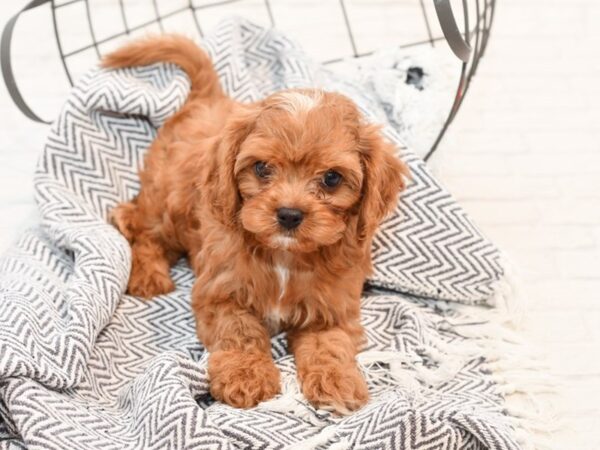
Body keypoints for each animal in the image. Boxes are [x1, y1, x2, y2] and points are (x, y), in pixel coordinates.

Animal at [103, 36, 410, 414]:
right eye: (262, 167)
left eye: (332, 178)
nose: (289, 214)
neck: (285, 257)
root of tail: (208, 98)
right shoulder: (220, 292)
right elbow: (240, 331)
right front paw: (245, 375)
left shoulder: (333, 307)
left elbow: (329, 343)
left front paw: (337, 380)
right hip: (168, 204)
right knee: (137, 224)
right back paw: (148, 274)